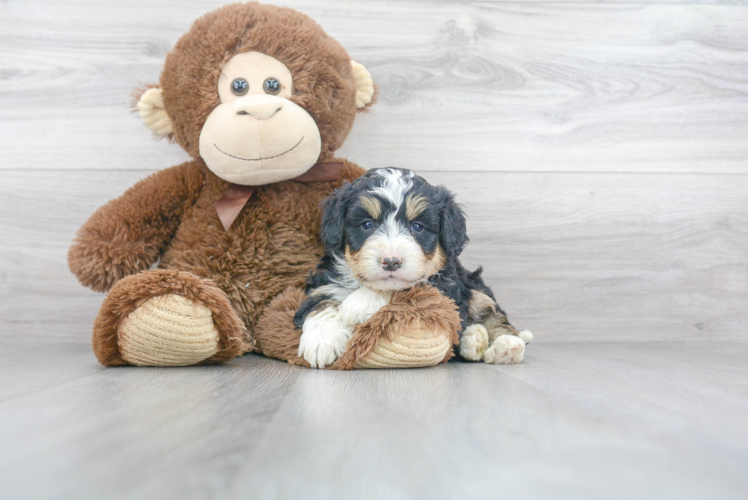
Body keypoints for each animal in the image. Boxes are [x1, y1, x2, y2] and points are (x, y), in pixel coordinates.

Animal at [292, 168, 532, 368]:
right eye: (367, 224)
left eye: (417, 227)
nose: (391, 261)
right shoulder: (323, 282)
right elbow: (322, 302)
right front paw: (321, 340)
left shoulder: (446, 289)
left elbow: (406, 290)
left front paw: (356, 305)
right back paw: (474, 340)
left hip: (476, 287)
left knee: (493, 314)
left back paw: (506, 346)